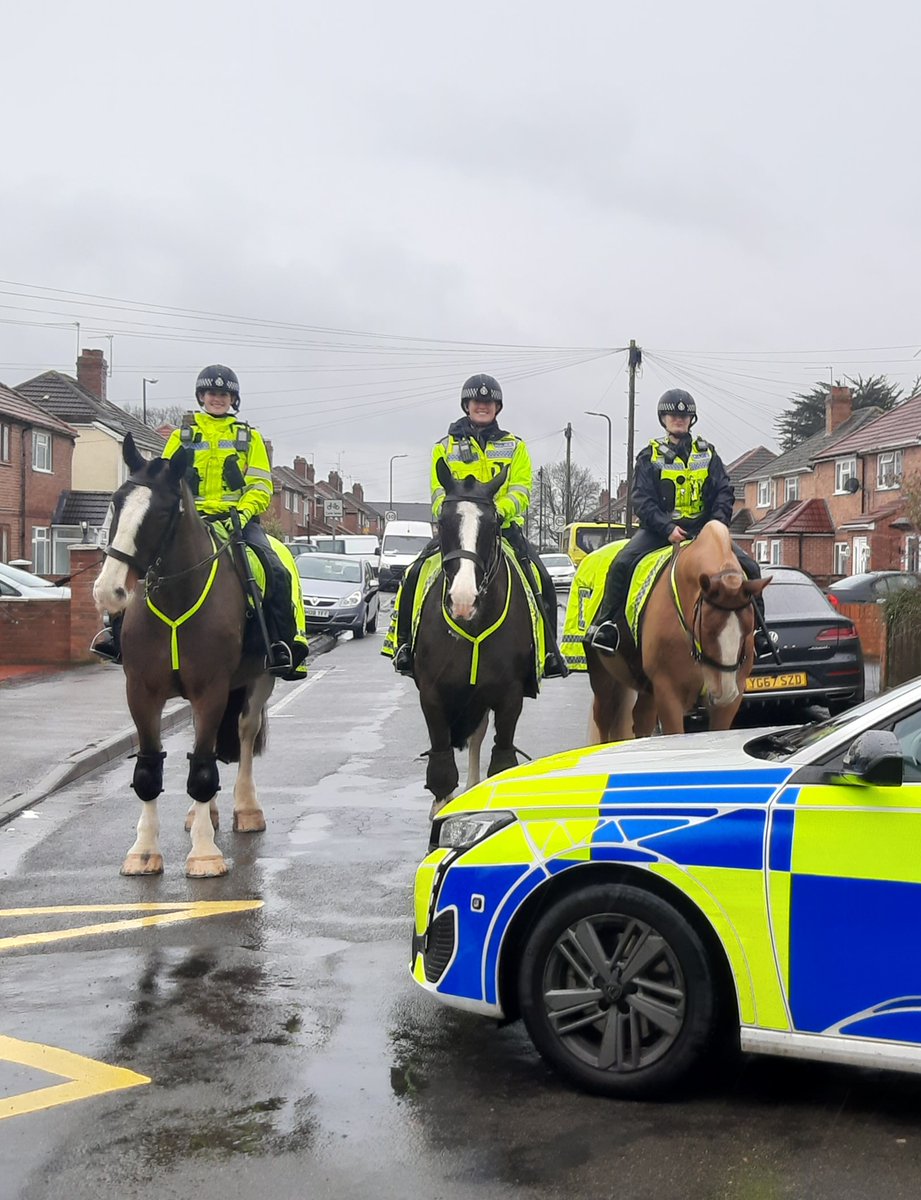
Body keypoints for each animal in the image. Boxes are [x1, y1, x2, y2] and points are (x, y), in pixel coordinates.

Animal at [91, 436, 275, 878]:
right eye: (117, 503)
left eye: (160, 512)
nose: (109, 591)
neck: (177, 597)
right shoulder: (141, 692)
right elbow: (148, 769)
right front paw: (143, 851)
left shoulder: (212, 690)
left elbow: (203, 770)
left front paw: (205, 855)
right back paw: (201, 816)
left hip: (257, 681)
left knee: (243, 733)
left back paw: (246, 809)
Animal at [412, 458, 537, 816]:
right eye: (442, 520)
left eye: (494, 523)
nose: (463, 600)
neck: (473, 627)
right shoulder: (433, 694)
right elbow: (442, 771)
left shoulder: (509, 696)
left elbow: (502, 762)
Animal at [585, 523, 767, 739]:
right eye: (707, 628)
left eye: (748, 628)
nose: (725, 691)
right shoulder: (668, 694)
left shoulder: (729, 702)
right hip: (603, 678)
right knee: (603, 719)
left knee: (641, 720)